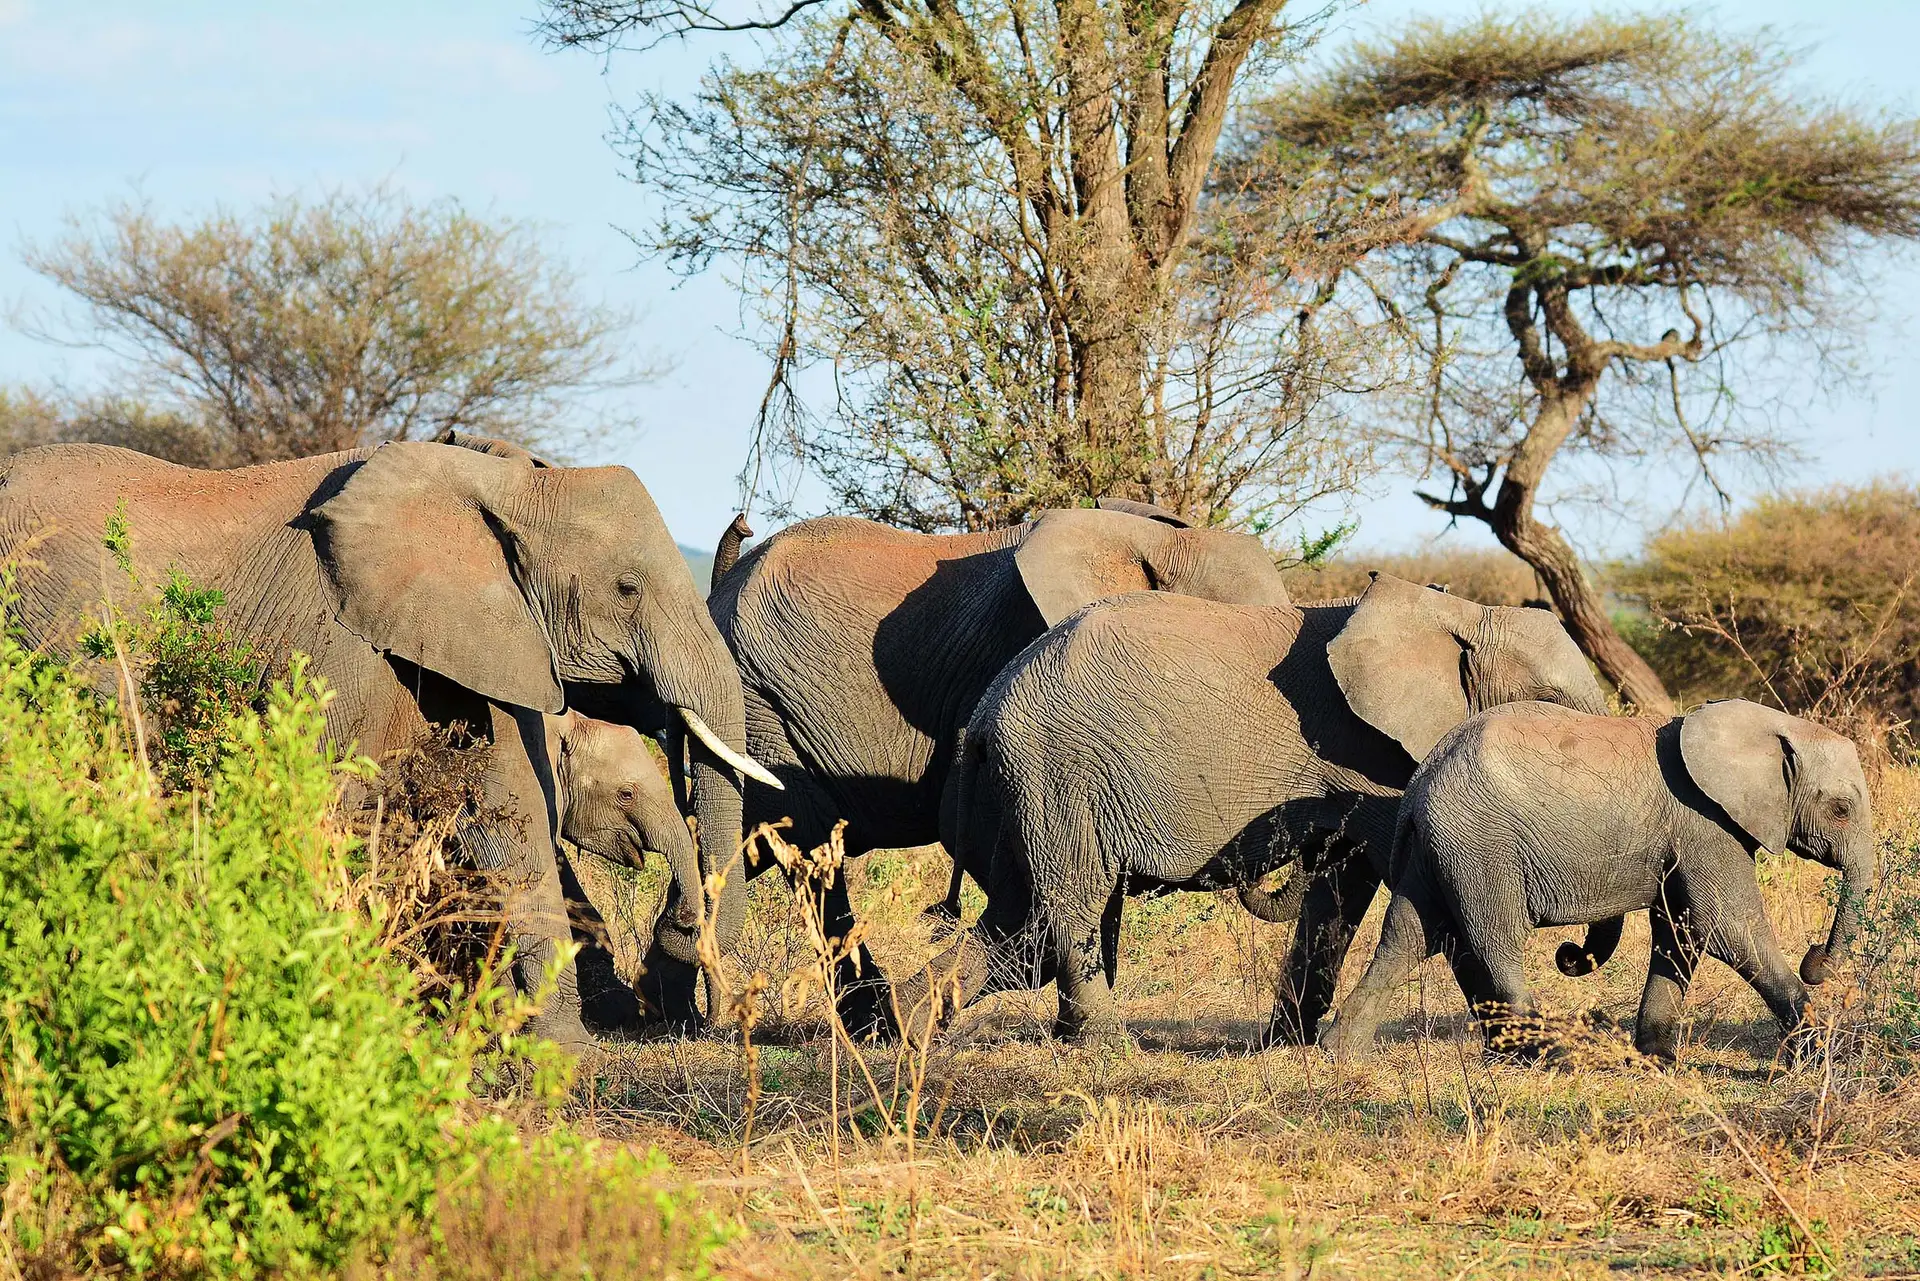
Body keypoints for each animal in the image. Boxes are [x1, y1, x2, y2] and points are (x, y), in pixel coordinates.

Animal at [894, 576, 1605, 1044]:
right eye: (1550, 709)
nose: (1571, 954)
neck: (1460, 613)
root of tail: (981, 719)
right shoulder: (1373, 757)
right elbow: (1387, 880)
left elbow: (1341, 888)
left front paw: (1287, 1043)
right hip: (1057, 773)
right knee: (1067, 909)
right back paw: (1104, 1045)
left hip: (1023, 791)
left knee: (1017, 920)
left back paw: (898, 1028)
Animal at [1320, 702, 1873, 1060]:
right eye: (1841, 810)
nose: (1815, 960)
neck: (1771, 725)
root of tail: (1420, 782)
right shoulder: (1706, 823)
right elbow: (1728, 928)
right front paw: (1819, 1055)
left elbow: (1681, 932)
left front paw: (1656, 1059)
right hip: (1480, 842)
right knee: (1495, 940)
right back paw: (1551, 1057)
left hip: (1439, 846)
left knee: (1408, 935)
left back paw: (1341, 1055)